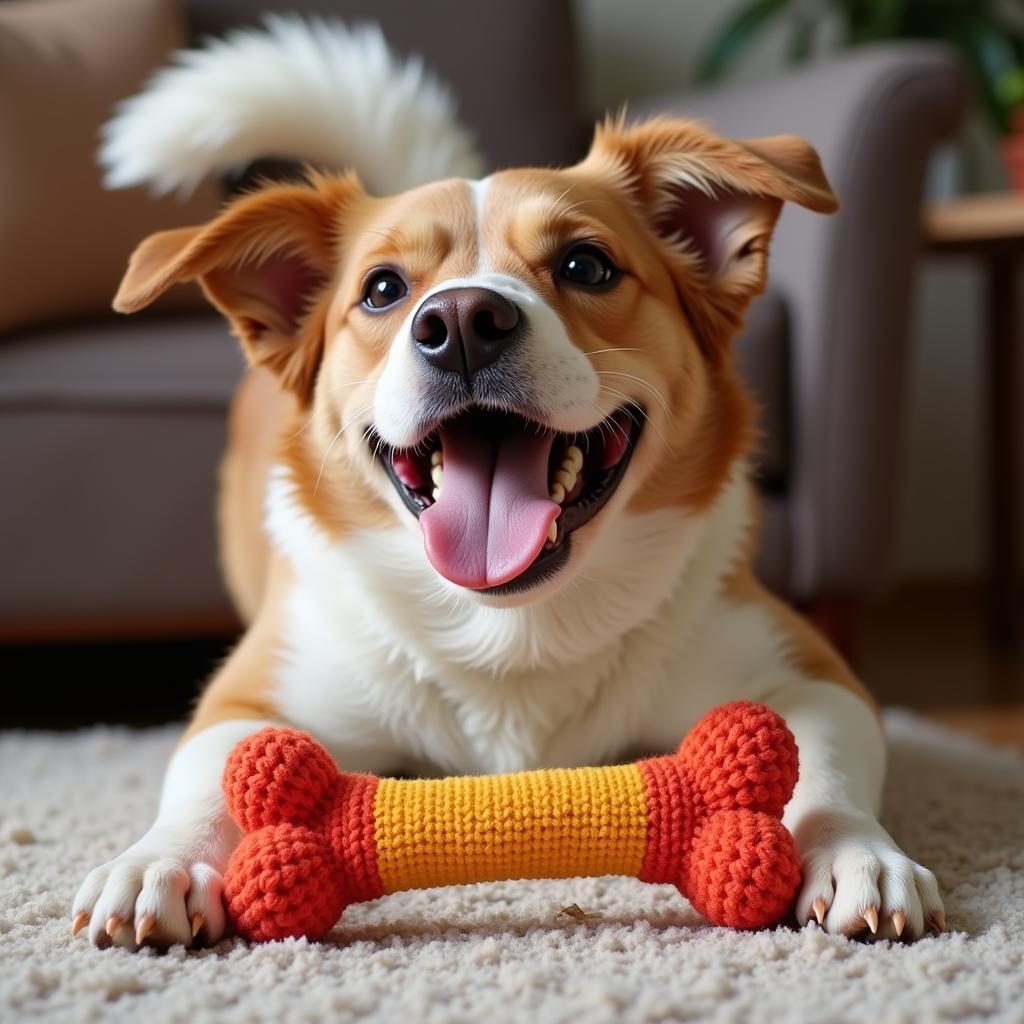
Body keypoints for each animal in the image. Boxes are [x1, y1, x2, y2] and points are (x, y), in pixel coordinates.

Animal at [72, 18, 942, 950]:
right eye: (382, 289)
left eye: (587, 266)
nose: (460, 322)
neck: (512, 628)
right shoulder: (253, 694)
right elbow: (206, 776)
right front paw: (158, 860)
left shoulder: (806, 670)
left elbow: (827, 760)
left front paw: (853, 850)